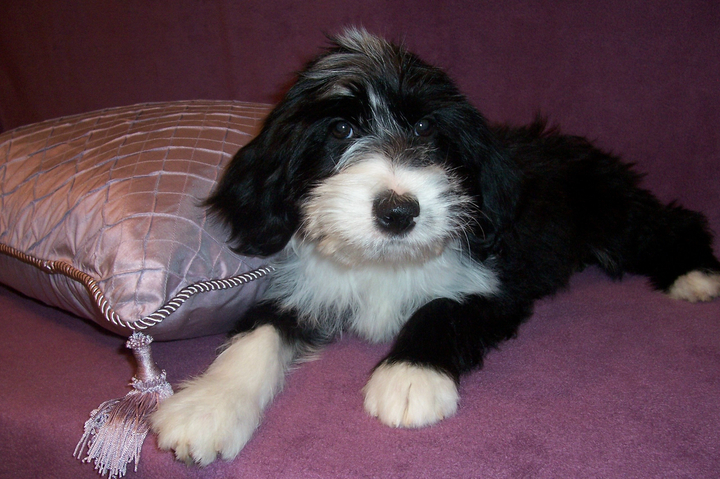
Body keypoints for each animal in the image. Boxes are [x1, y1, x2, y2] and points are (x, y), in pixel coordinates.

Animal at [149, 29, 716, 464]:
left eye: (425, 126)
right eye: (341, 128)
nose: (399, 211)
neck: (383, 263)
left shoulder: (494, 283)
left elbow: (440, 309)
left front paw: (408, 379)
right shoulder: (300, 287)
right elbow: (257, 333)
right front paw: (207, 407)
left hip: (613, 212)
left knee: (667, 222)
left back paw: (696, 274)